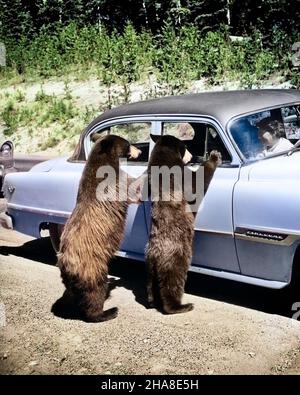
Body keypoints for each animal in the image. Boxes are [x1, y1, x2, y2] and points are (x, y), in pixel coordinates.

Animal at [56, 135, 141, 324]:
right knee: (95, 291)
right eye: (128, 143)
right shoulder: (115, 183)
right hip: (92, 267)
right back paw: (107, 312)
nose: (139, 151)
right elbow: (132, 188)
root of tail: (66, 264)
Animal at [145, 136, 195, 316]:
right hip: (175, 258)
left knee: (151, 285)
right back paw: (181, 306)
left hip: (149, 266)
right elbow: (195, 184)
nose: (191, 156)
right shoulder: (178, 172)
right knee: (172, 283)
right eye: (185, 146)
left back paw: (152, 302)